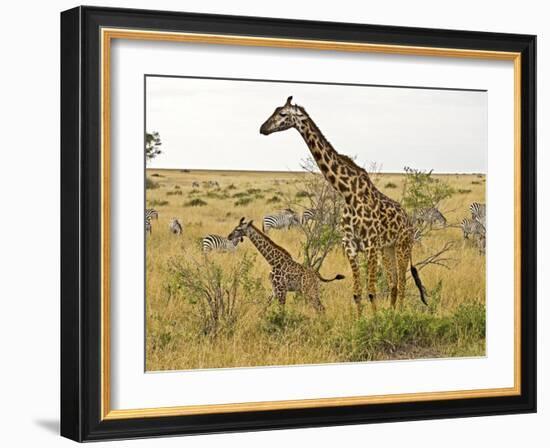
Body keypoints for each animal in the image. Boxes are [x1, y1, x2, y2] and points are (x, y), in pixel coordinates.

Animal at [260, 96, 430, 312]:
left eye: (282, 113)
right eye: (274, 110)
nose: (263, 128)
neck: (348, 193)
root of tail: (408, 220)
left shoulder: (370, 246)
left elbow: (371, 291)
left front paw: (375, 321)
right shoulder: (350, 246)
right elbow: (357, 293)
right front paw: (363, 319)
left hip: (403, 245)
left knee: (402, 283)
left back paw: (398, 314)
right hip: (388, 248)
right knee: (393, 283)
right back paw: (391, 314)